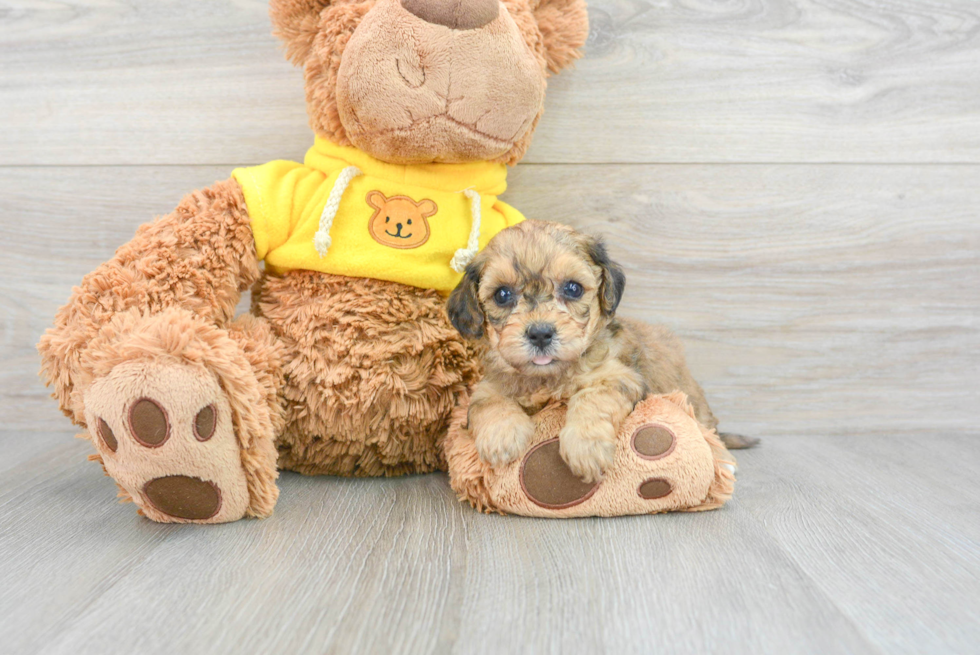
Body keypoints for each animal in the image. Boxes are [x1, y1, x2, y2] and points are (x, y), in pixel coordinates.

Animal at [446, 220, 756, 482]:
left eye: (572, 288)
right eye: (502, 294)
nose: (540, 334)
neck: (548, 378)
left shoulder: (620, 377)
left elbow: (591, 399)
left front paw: (585, 447)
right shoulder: (490, 384)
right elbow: (486, 403)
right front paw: (501, 437)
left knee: (708, 431)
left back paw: (723, 460)